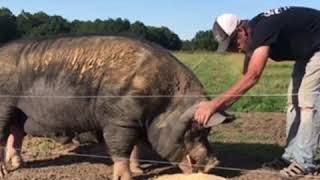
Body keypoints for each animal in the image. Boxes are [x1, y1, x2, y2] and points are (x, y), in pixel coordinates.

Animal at [0, 35, 231, 180]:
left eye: (208, 131)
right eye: (194, 130)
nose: (215, 163)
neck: (161, 101)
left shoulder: (136, 122)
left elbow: (135, 147)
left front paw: (138, 171)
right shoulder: (119, 119)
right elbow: (121, 148)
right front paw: (125, 178)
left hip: (19, 112)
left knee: (16, 133)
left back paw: (19, 165)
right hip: (4, 105)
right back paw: (5, 172)